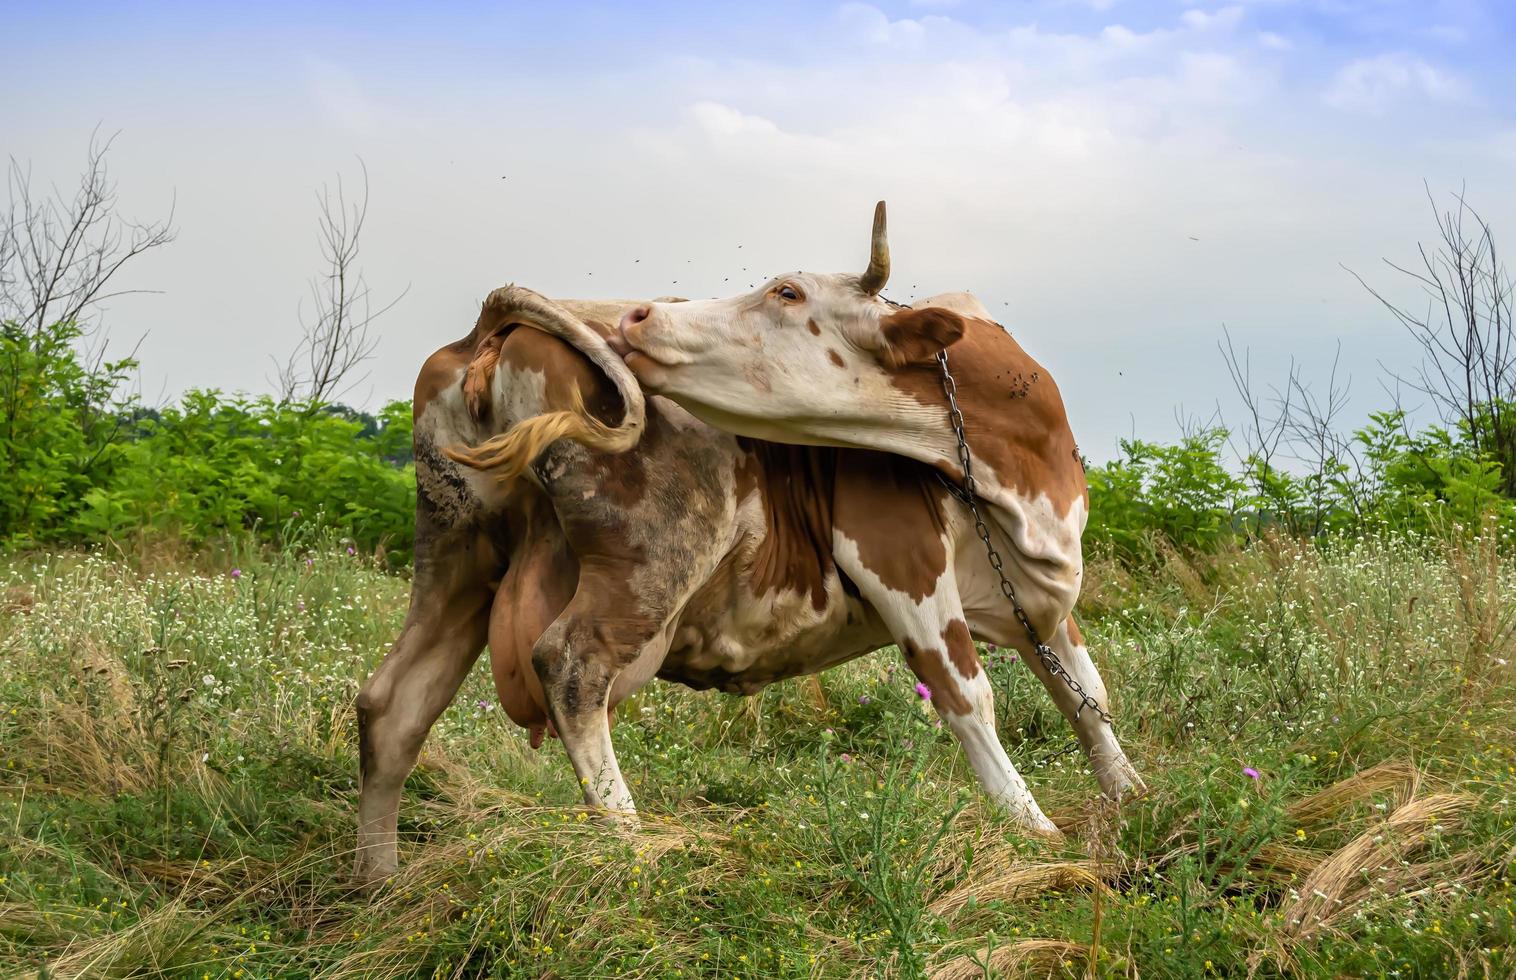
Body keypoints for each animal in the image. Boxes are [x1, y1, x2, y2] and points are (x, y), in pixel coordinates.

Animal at [354, 207, 1140, 885]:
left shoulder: (1034, 593)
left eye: (787, 291)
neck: (1016, 466)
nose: (638, 316)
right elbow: (967, 697)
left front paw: (1130, 795)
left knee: (393, 704)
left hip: (457, 552)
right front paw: (1036, 831)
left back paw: (377, 885)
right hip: (651, 559)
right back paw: (633, 850)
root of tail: (496, 321)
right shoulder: (897, 556)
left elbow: (1088, 696)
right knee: (570, 665)